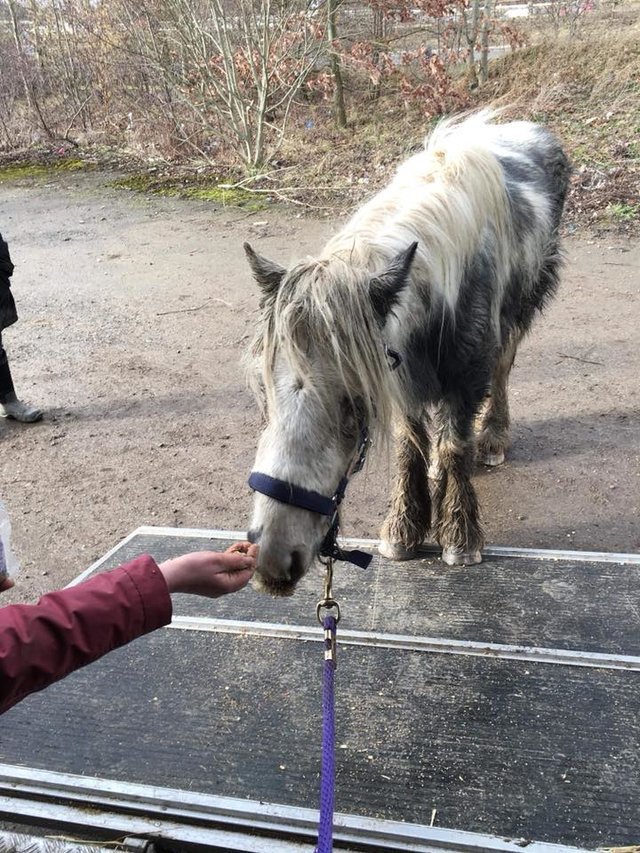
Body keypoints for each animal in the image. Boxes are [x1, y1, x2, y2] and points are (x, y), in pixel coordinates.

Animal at [245, 110, 568, 596]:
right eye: (265, 396)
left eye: (354, 405)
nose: (271, 558)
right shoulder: (401, 380)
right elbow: (409, 444)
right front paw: (403, 531)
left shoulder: (464, 378)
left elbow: (454, 444)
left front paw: (459, 539)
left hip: (522, 307)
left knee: (503, 368)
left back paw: (492, 439)